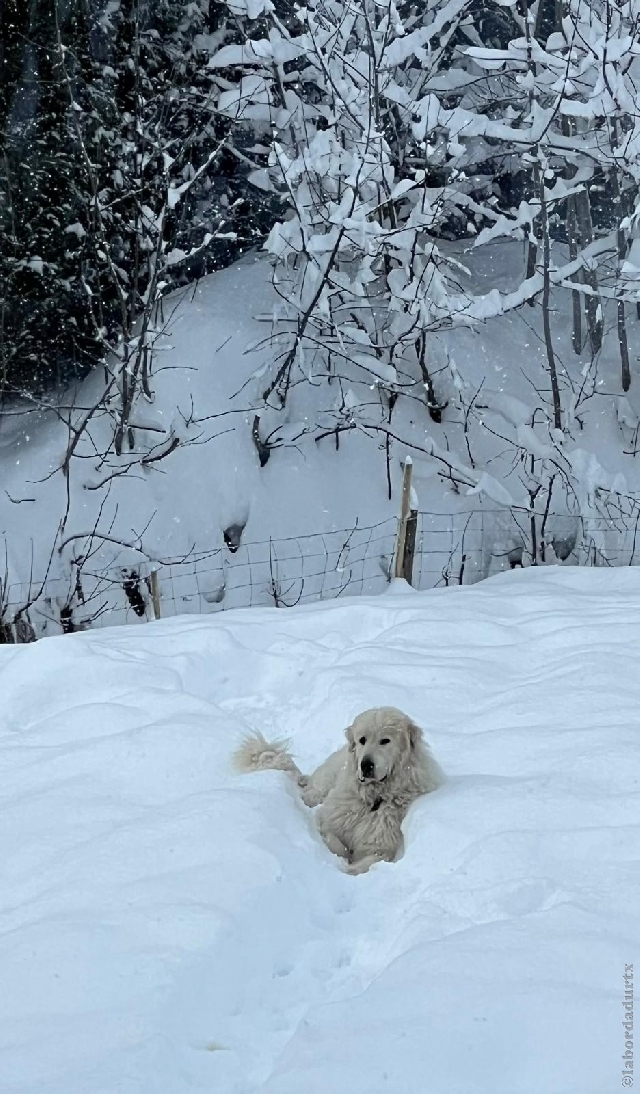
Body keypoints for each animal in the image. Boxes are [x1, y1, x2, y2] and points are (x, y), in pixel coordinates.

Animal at [232, 706, 443, 875]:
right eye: (362, 740)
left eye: (385, 741)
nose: (365, 765)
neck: (372, 798)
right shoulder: (330, 819)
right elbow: (334, 842)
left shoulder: (381, 845)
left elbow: (369, 860)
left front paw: (350, 867)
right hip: (320, 788)